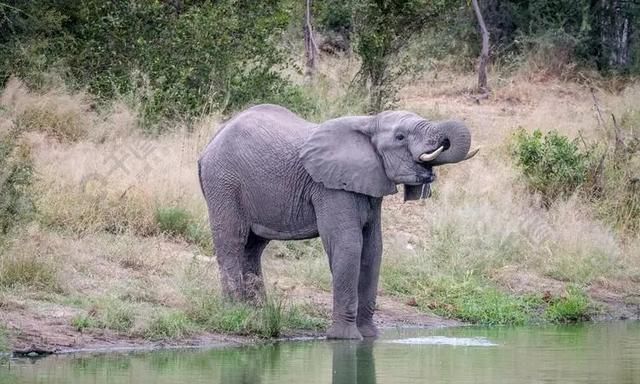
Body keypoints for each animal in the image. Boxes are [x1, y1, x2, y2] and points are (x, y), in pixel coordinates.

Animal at [198, 104, 478, 340]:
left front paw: (370, 336)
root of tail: (209, 145)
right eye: (400, 137)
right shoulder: (330, 187)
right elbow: (348, 246)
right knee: (232, 241)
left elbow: (373, 249)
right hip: (223, 182)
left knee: (253, 247)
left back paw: (256, 314)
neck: (368, 122)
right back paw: (234, 312)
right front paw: (345, 339)